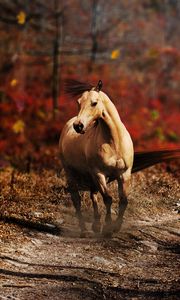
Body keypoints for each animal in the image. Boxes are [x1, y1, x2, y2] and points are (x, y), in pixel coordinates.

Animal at [59, 79, 134, 237]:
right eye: (78, 102)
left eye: (94, 103)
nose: (78, 126)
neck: (114, 142)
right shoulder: (99, 173)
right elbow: (108, 199)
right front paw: (108, 228)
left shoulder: (124, 173)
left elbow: (123, 201)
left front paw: (116, 227)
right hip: (72, 173)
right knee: (77, 200)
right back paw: (84, 231)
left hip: (92, 176)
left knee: (93, 195)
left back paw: (96, 225)